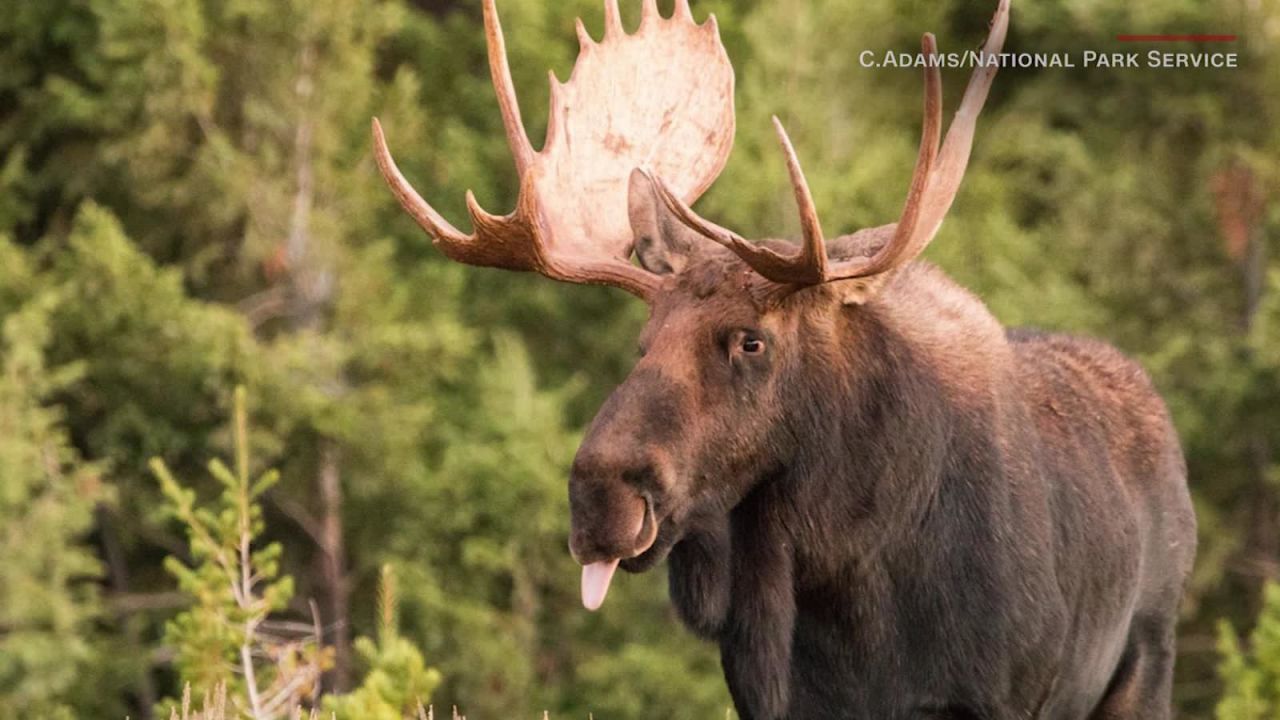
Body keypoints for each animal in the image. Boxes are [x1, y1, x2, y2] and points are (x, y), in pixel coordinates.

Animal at [371, 2, 1198, 712]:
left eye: (751, 339)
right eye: (644, 342)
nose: (600, 497)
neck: (848, 589)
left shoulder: (992, 693)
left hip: (1145, 659)